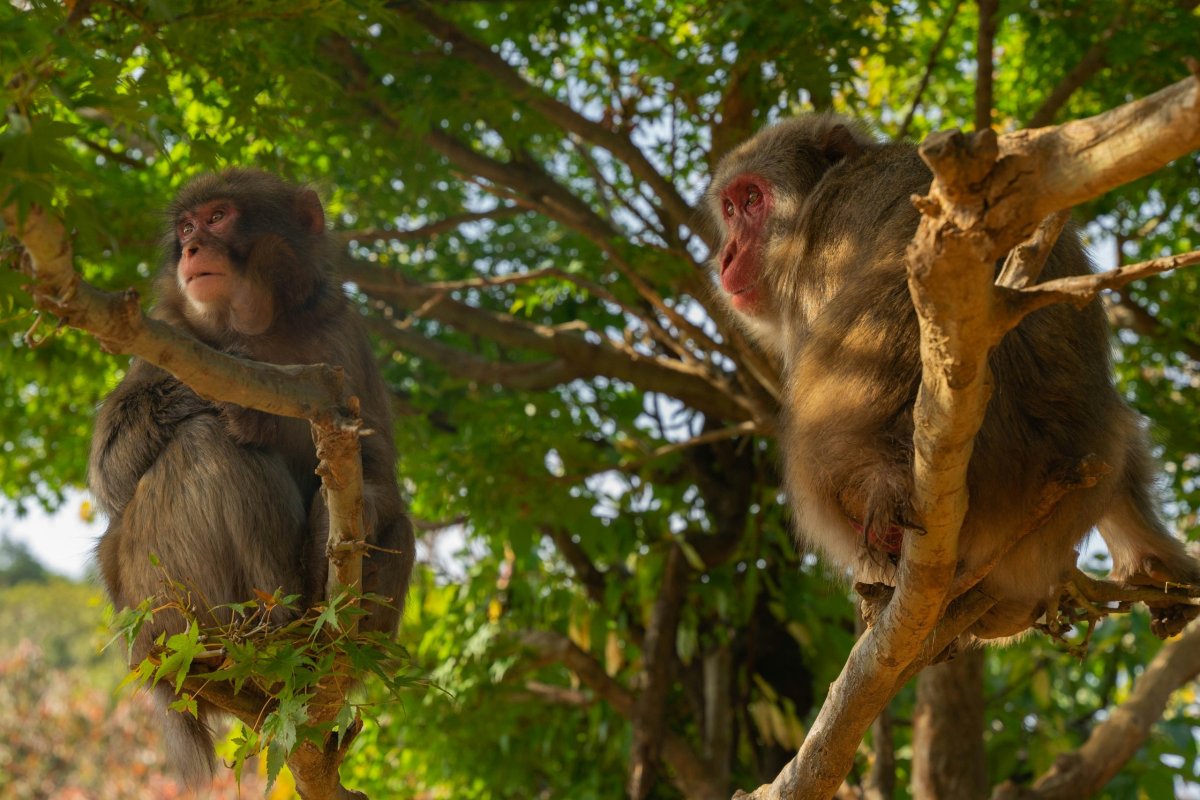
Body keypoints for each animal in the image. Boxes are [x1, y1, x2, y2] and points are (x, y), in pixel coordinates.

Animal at [88, 169, 417, 782]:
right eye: (186, 228)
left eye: (218, 218)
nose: (193, 247)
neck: (262, 327)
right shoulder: (166, 336)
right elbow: (110, 476)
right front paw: (226, 394)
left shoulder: (342, 335)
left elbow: (378, 473)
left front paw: (333, 532)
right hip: (164, 610)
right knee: (205, 442)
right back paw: (272, 626)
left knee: (399, 526)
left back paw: (318, 639)